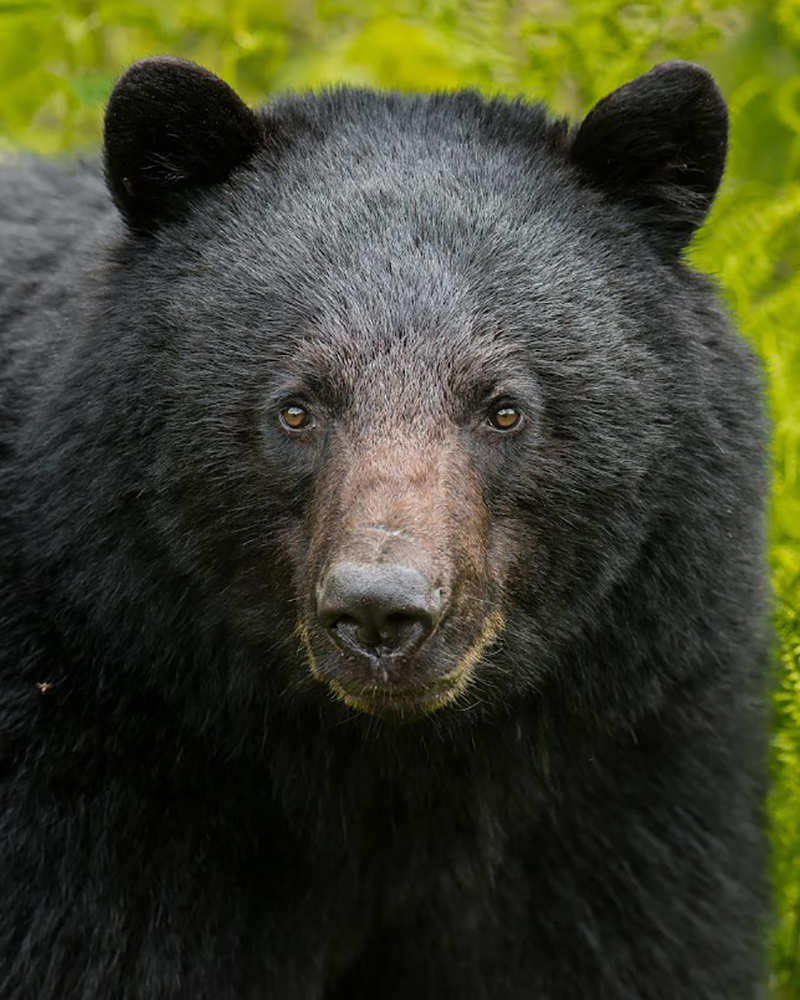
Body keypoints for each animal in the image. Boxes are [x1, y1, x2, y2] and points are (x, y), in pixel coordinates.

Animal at [0, 56, 769, 999]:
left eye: (504, 409)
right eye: (297, 408)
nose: (379, 611)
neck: (383, 770)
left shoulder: (629, 778)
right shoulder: (90, 796)